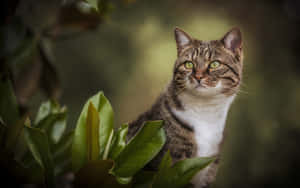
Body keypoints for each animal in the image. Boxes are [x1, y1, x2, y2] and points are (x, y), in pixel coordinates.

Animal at [127, 26, 244, 188]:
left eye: (214, 64)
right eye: (189, 64)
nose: (198, 76)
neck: (205, 112)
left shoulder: (207, 169)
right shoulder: (172, 167)